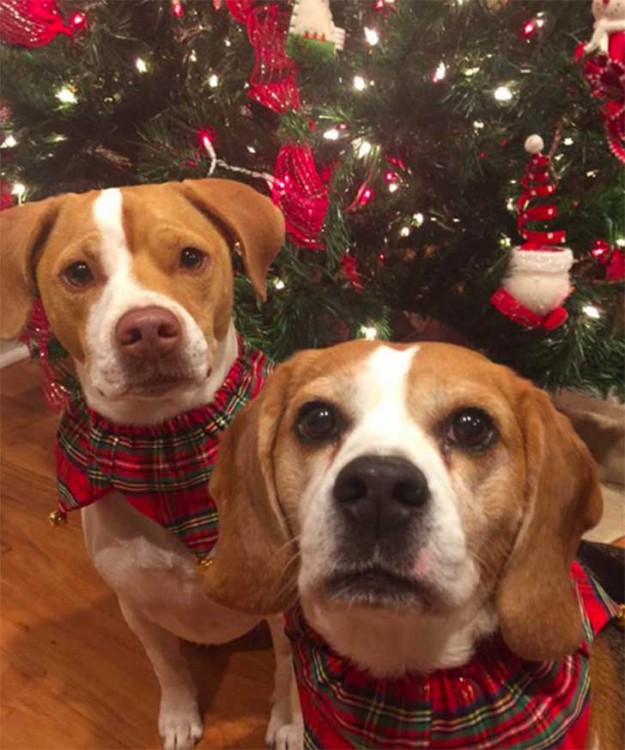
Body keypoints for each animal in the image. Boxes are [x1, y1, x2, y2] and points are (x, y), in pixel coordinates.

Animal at [0, 181, 302, 750]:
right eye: (78, 272)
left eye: (191, 257)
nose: (146, 329)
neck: (167, 447)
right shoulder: (137, 607)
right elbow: (167, 667)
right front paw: (180, 716)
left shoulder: (288, 609)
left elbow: (289, 673)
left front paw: (291, 724)